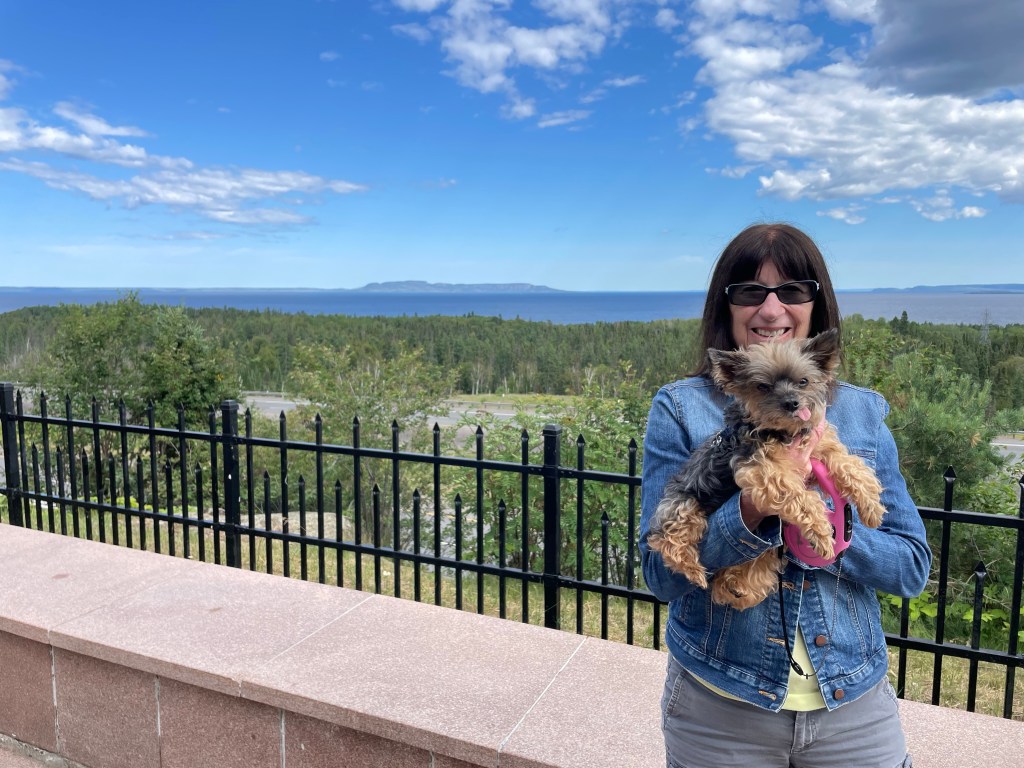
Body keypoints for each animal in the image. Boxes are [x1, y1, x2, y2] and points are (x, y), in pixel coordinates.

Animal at [647, 329, 886, 609]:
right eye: (763, 386)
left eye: (803, 381)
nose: (792, 402)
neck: (784, 433)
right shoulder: (761, 471)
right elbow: (801, 497)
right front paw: (822, 533)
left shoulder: (821, 449)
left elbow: (851, 465)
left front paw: (871, 507)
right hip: (684, 504)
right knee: (669, 540)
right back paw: (695, 571)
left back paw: (736, 585)